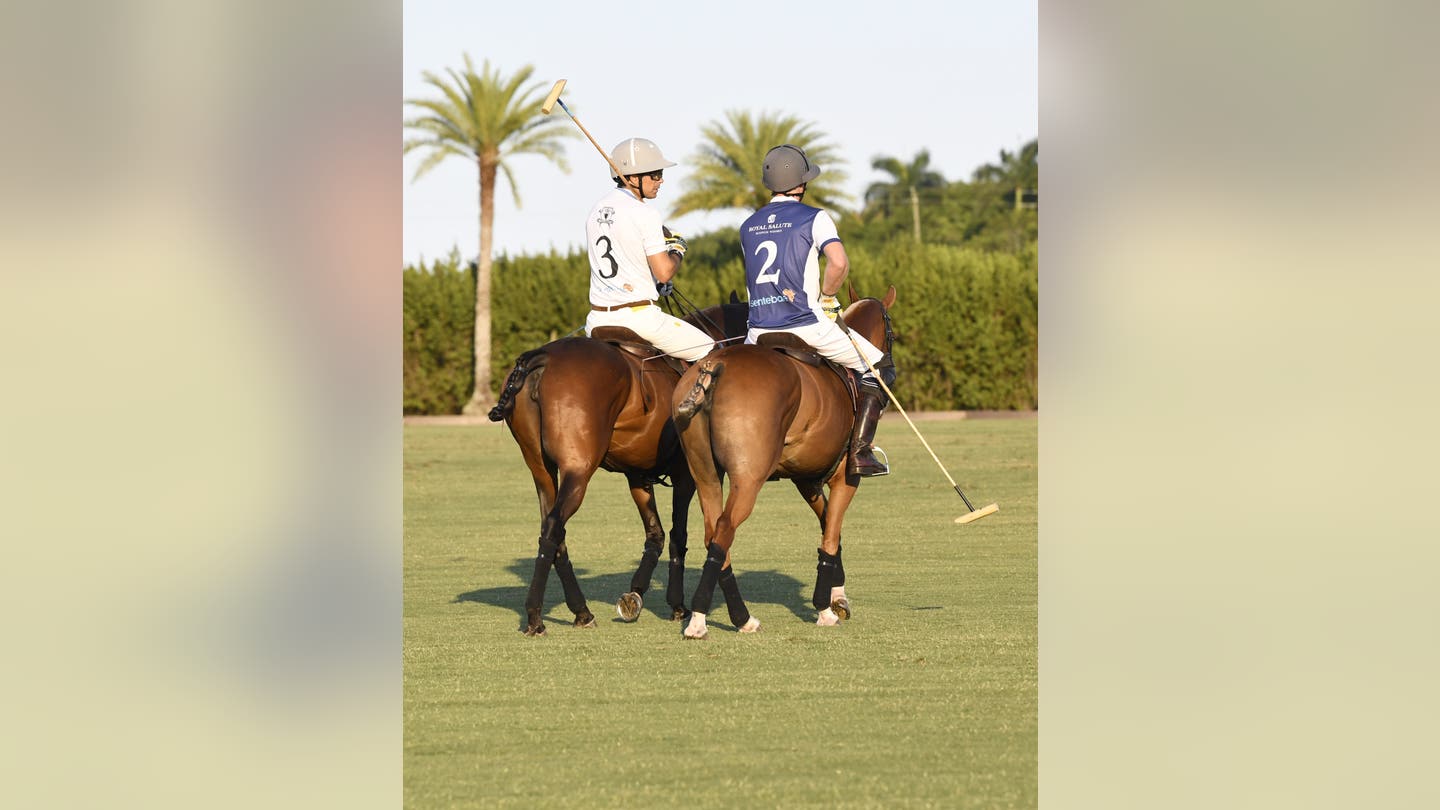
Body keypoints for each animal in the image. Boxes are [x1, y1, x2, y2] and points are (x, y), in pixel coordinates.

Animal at [489, 299, 748, 634]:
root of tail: (542, 358)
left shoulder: (637, 475)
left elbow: (655, 534)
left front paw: (635, 595)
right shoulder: (687, 475)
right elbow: (678, 536)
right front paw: (677, 605)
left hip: (540, 469)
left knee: (552, 528)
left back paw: (582, 611)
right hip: (578, 469)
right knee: (553, 527)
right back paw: (535, 616)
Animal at [668, 286, 892, 639]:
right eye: (891, 330)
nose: (890, 368)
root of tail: (714, 366)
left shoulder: (806, 479)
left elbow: (829, 528)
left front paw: (838, 597)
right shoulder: (846, 477)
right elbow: (831, 533)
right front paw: (825, 607)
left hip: (704, 472)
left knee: (711, 532)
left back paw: (740, 617)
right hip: (748, 476)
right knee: (724, 529)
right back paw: (703, 619)